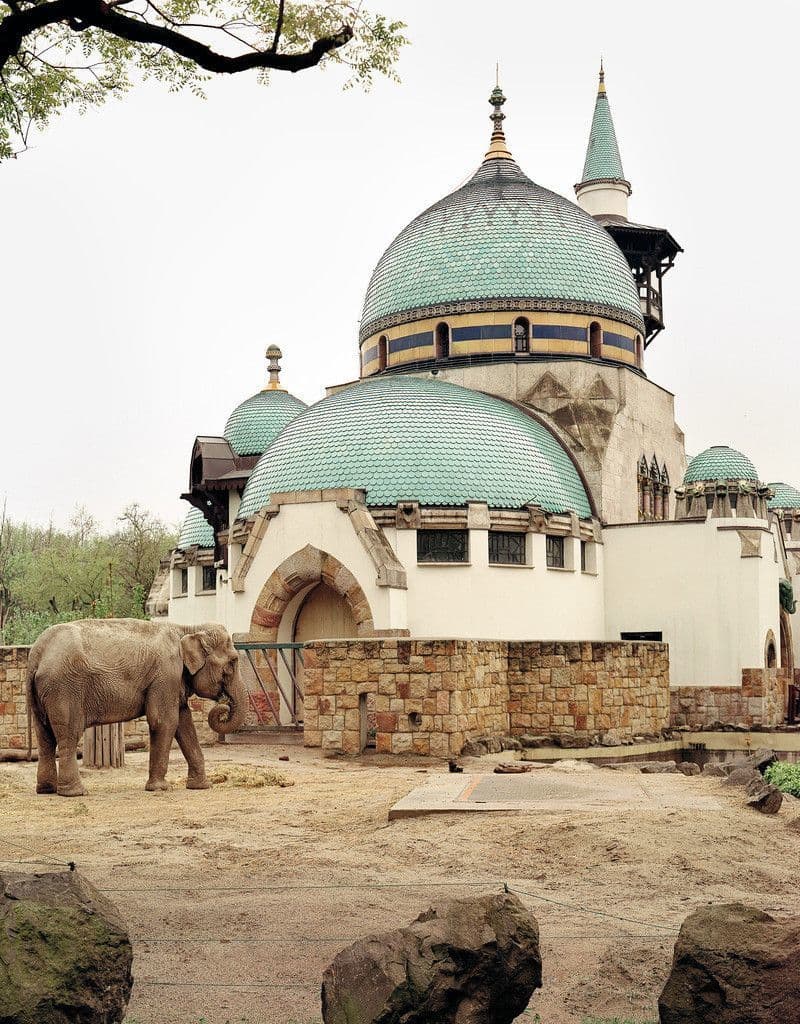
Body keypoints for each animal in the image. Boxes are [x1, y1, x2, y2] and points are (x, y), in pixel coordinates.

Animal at [26, 614, 244, 798]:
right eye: (233, 661)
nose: (223, 706)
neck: (187, 628)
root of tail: (36, 655)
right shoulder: (166, 674)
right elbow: (164, 721)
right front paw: (160, 789)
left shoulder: (174, 679)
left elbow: (184, 723)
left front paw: (202, 786)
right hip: (65, 690)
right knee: (68, 735)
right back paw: (75, 793)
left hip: (44, 694)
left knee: (44, 737)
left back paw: (46, 790)